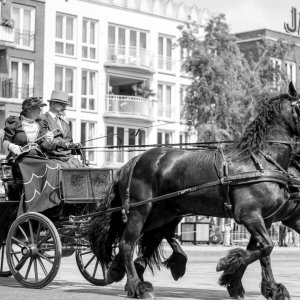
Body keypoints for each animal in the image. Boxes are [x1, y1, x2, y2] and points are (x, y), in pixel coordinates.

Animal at [89, 82, 300, 300]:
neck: (259, 161)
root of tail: (132, 162)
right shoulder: (249, 215)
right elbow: (267, 247)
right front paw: (227, 264)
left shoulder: (265, 218)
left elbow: (263, 252)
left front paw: (267, 287)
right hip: (141, 210)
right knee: (127, 243)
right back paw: (137, 286)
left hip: (162, 213)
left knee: (150, 237)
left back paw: (123, 270)